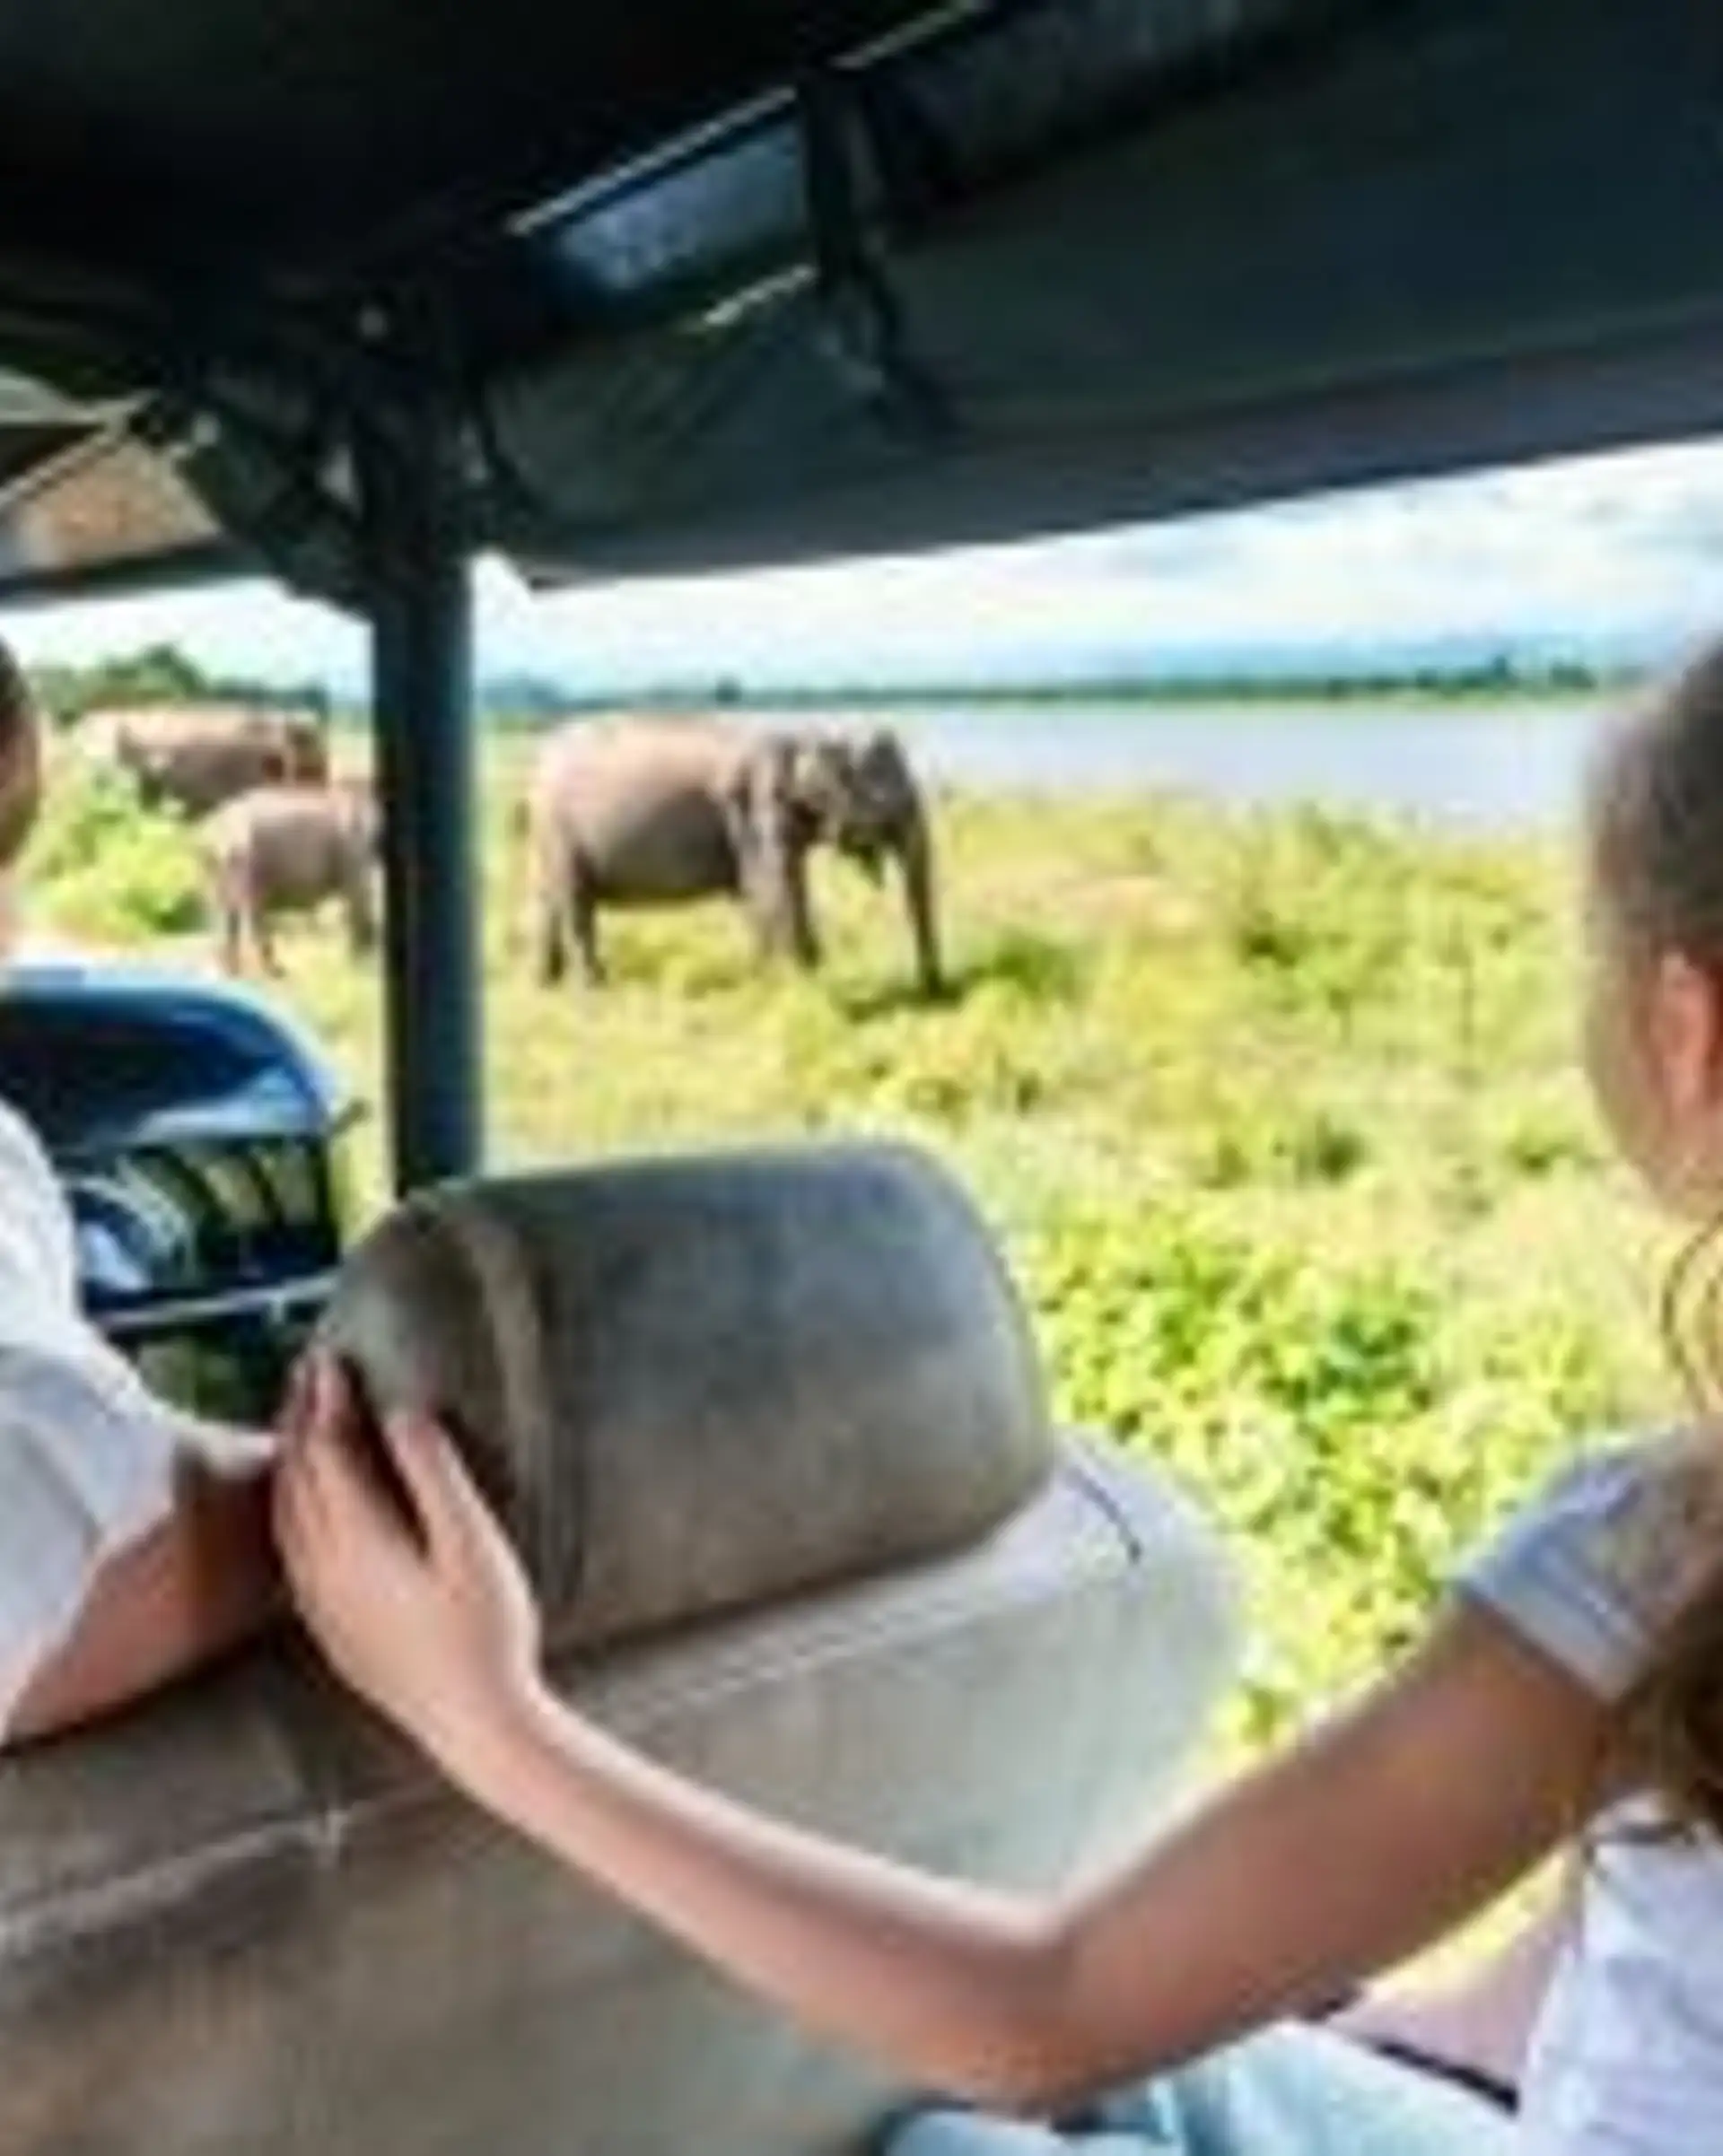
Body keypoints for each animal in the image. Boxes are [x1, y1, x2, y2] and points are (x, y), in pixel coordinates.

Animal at [200, 778, 379, 977]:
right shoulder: (353, 855)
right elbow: (359, 899)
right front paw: (359, 966)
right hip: (245, 858)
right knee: (246, 912)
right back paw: (267, 970)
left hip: (226, 868)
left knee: (229, 912)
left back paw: (235, 969)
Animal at [523, 719, 943, 994]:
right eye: (886, 802)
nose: (932, 989)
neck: (806, 737)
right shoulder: (754, 810)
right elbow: (770, 887)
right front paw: (805, 983)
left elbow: (773, 889)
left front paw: (771, 979)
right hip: (561, 833)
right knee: (577, 906)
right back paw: (595, 989)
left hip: (549, 839)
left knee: (551, 902)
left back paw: (546, 985)